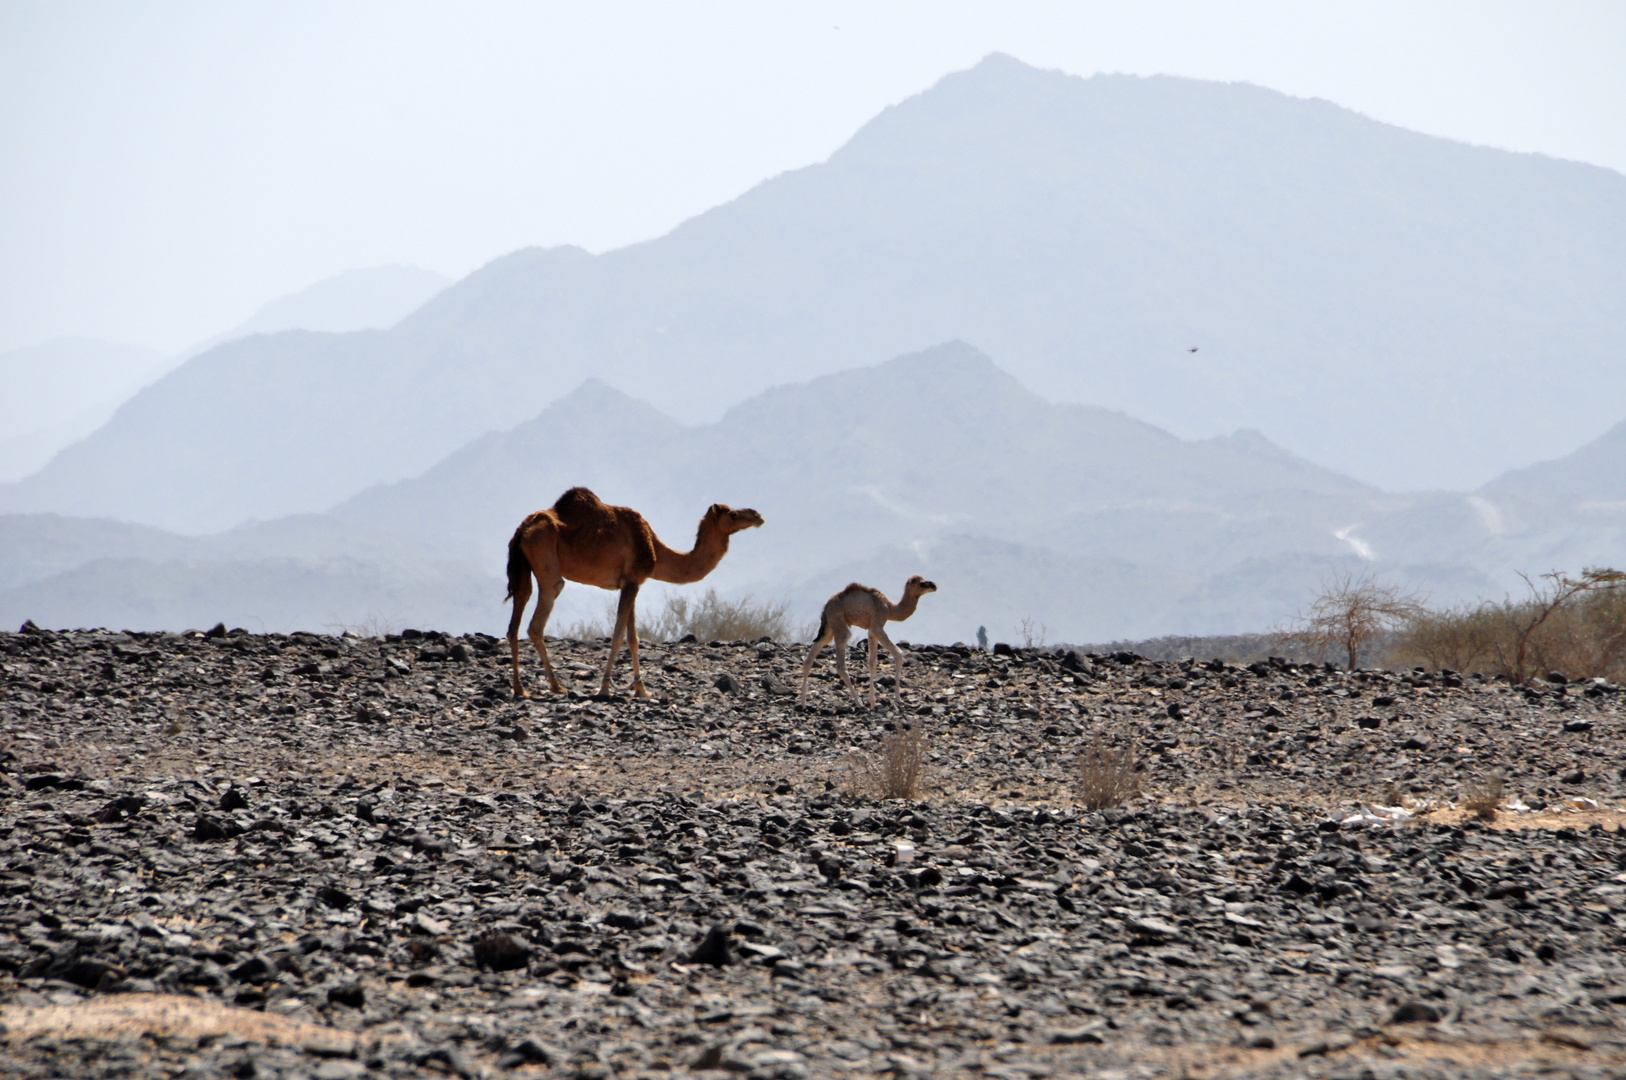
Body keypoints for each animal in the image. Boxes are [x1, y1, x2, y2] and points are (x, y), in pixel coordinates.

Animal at [504, 487, 764, 699]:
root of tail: (522, 530)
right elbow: (618, 635)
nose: (757, 515)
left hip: (523, 566)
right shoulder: (632, 581)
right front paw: (605, 688)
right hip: (545, 556)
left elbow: (633, 638)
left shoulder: (632, 582)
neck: (655, 548)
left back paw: (519, 689)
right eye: (732, 514)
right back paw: (556, 686)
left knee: (516, 614)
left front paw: (642, 689)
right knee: (539, 617)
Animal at [793, 572, 936, 709]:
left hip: (829, 628)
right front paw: (897, 699)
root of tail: (826, 607)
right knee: (841, 663)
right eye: (920, 583)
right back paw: (859, 703)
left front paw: (872, 702)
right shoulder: (877, 626)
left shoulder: (871, 630)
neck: (889, 608)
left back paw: (803, 703)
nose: (933, 585)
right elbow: (898, 654)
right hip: (839, 624)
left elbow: (872, 662)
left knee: (810, 657)